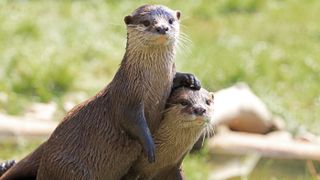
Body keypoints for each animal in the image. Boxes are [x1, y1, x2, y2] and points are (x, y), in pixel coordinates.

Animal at [0, 4, 200, 180]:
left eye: (170, 20)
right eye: (146, 22)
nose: (162, 28)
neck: (152, 84)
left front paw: (190, 79)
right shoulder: (126, 97)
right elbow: (132, 121)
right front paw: (150, 146)